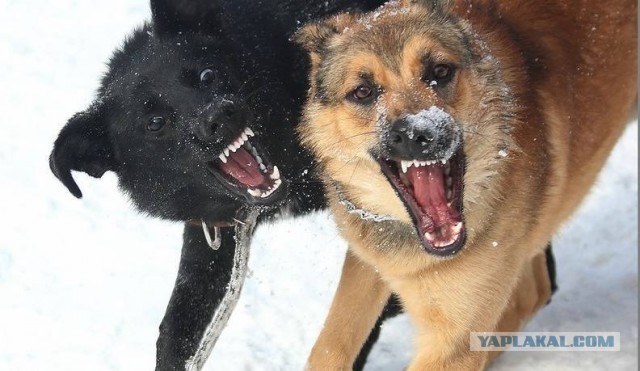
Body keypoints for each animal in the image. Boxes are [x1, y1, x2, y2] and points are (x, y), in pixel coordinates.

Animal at [294, 0, 636, 370]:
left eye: (440, 71)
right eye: (363, 92)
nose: (417, 134)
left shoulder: (454, 338)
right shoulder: (367, 259)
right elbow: (330, 345)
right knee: (535, 290)